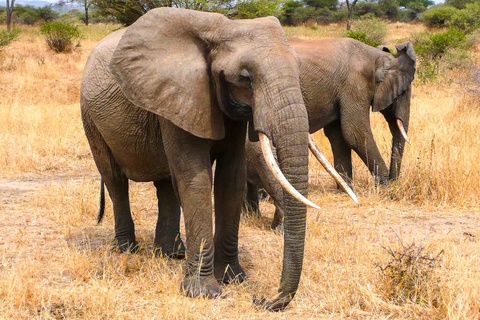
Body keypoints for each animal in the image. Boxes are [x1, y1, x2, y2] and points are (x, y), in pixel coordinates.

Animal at [80, 7, 322, 312]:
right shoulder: (182, 94)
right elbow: (197, 179)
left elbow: (231, 178)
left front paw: (233, 278)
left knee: (165, 186)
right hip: (90, 117)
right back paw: (127, 250)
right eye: (245, 78)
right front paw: (203, 292)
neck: (222, 28)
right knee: (115, 180)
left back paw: (171, 254)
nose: (264, 300)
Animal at [246, 38, 414, 230]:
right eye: (402, 93)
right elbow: (354, 132)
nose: (395, 185)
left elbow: (339, 137)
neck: (375, 56)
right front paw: (385, 186)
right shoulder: (354, 86)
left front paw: (345, 189)